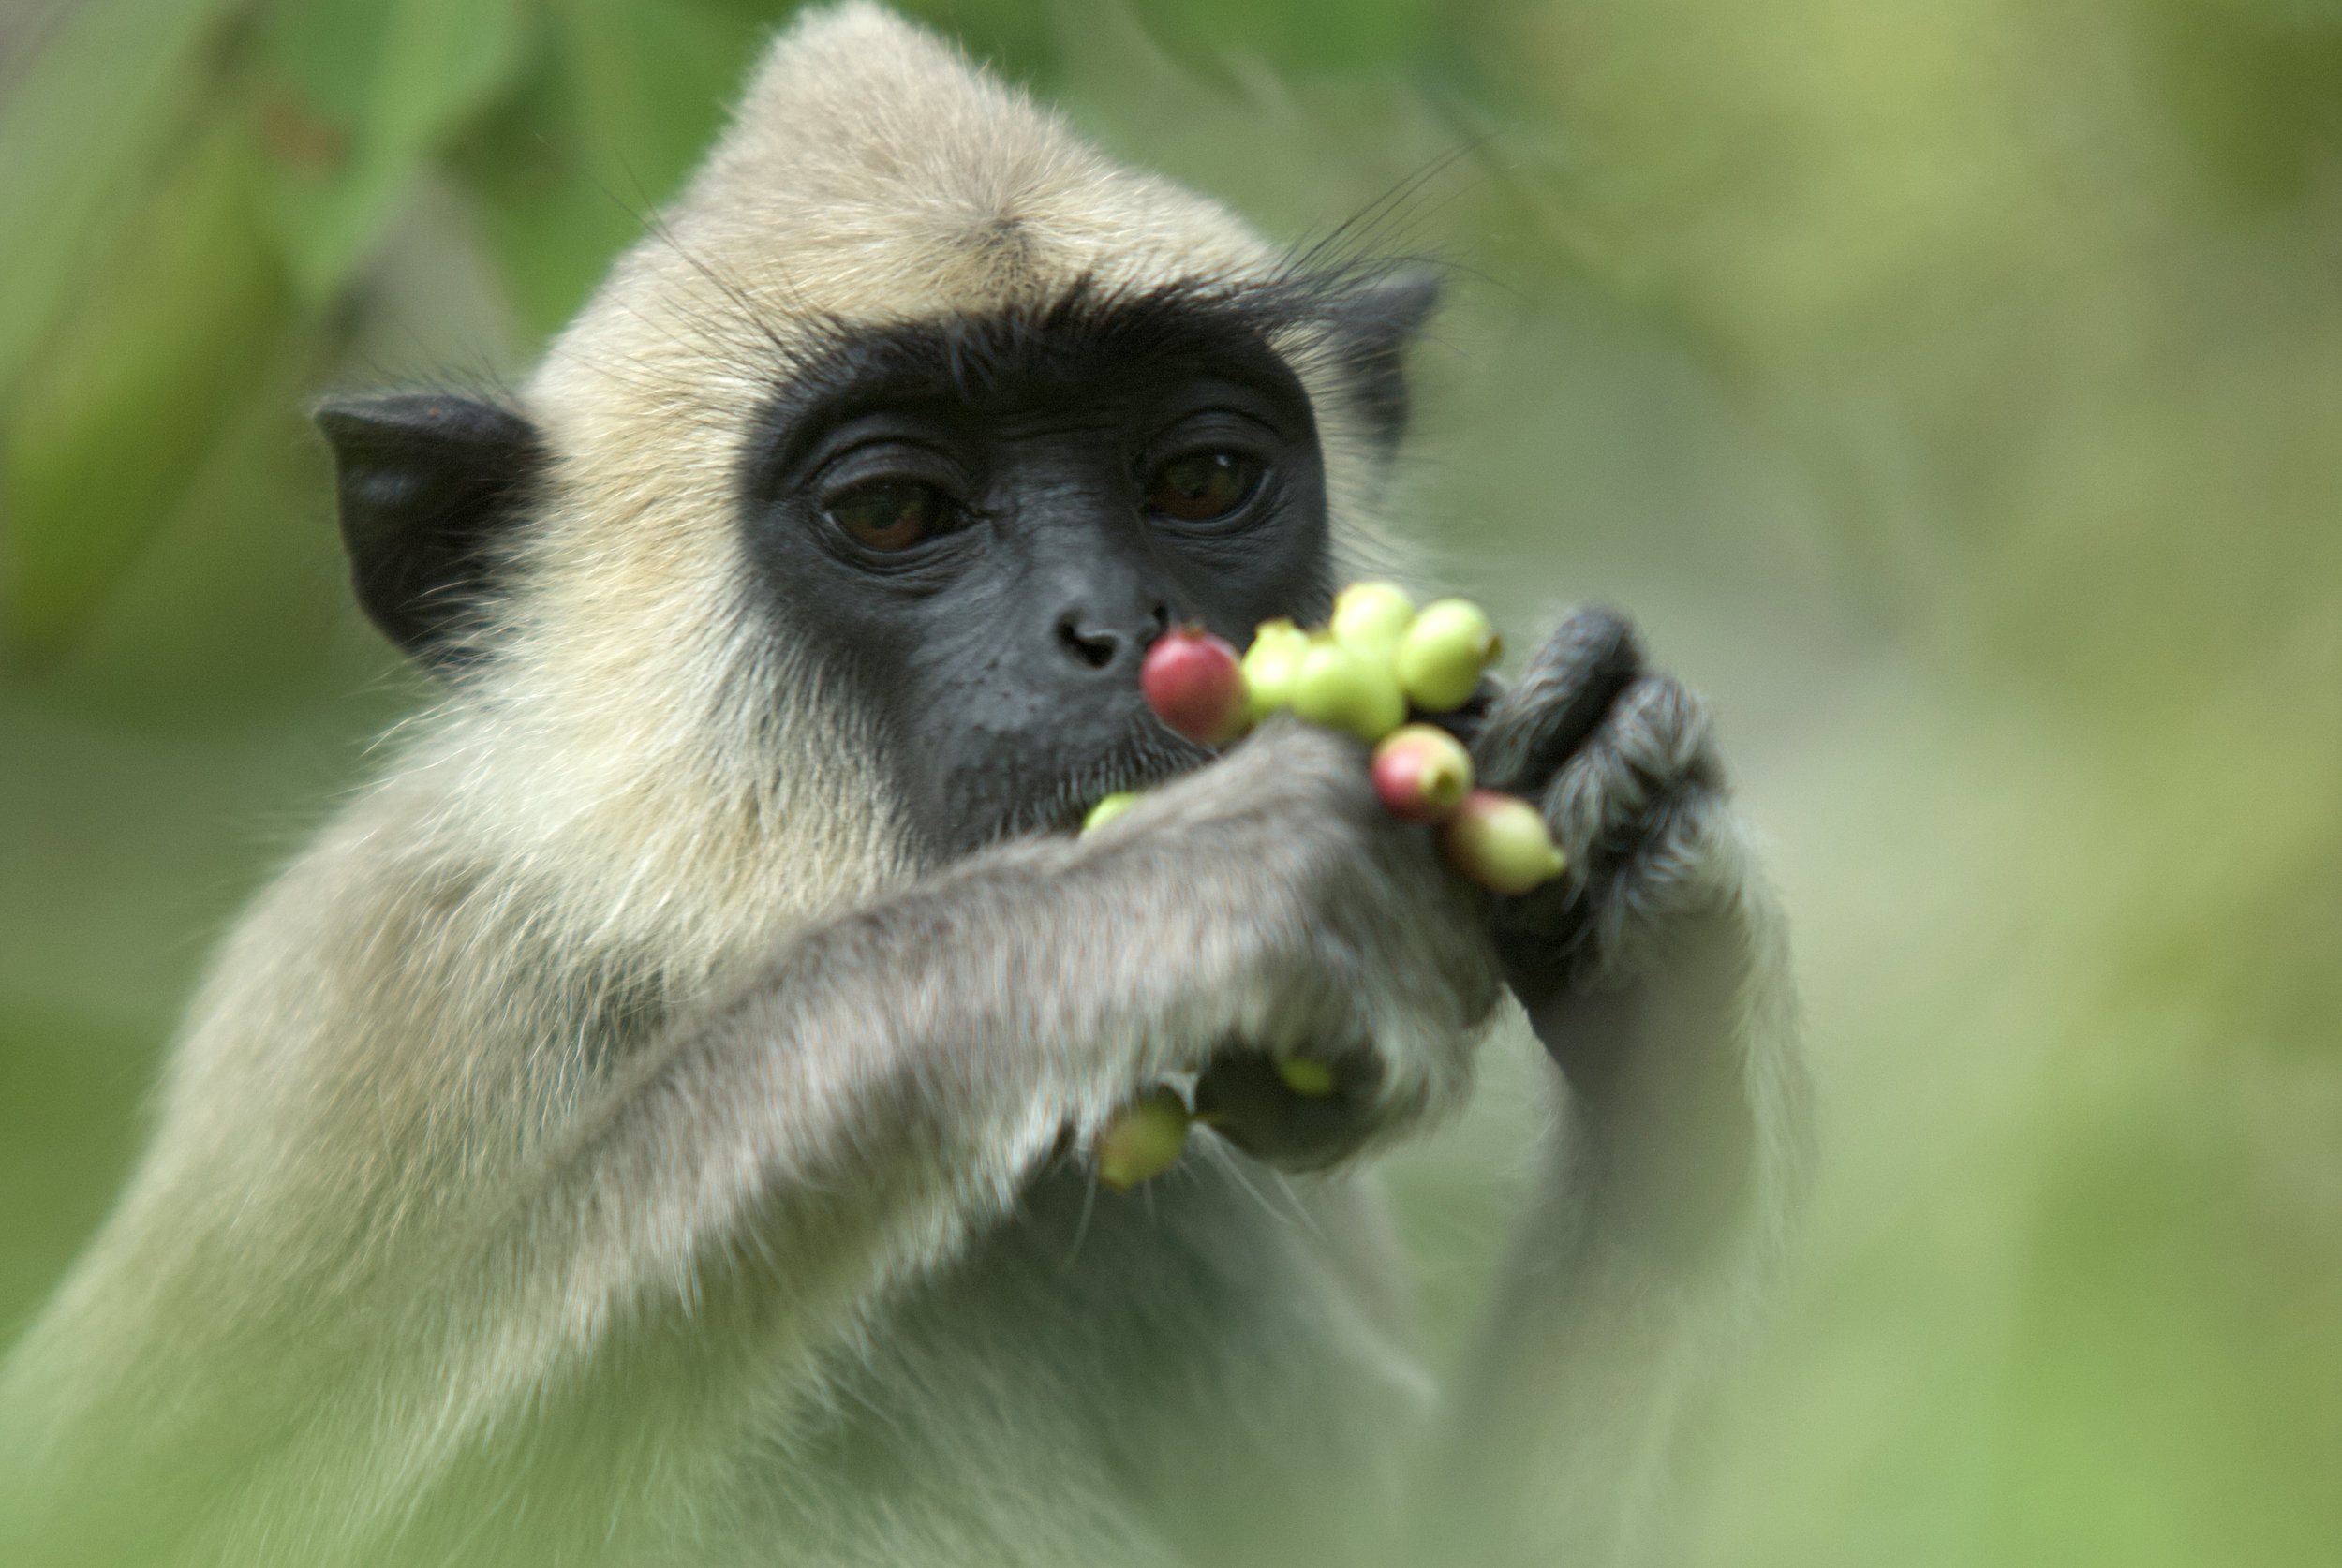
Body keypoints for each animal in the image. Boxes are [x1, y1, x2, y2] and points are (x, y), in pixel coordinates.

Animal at [0, 6, 1808, 1563]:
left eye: (1202, 476)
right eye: (893, 512)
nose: (1119, 626)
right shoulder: (385, 994)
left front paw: (1650, 905)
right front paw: (1072, 936)